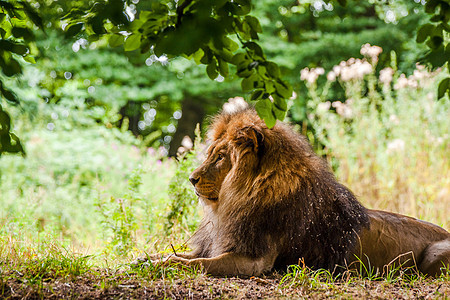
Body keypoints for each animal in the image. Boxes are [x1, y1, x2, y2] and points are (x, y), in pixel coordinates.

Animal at [139, 107, 448, 276]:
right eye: (211, 154)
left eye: (220, 158)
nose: (191, 179)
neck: (234, 200)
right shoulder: (217, 243)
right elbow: (183, 254)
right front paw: (146, 258)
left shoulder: (253, 261)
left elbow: (196, 264)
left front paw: (163, 265)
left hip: (435, 256)